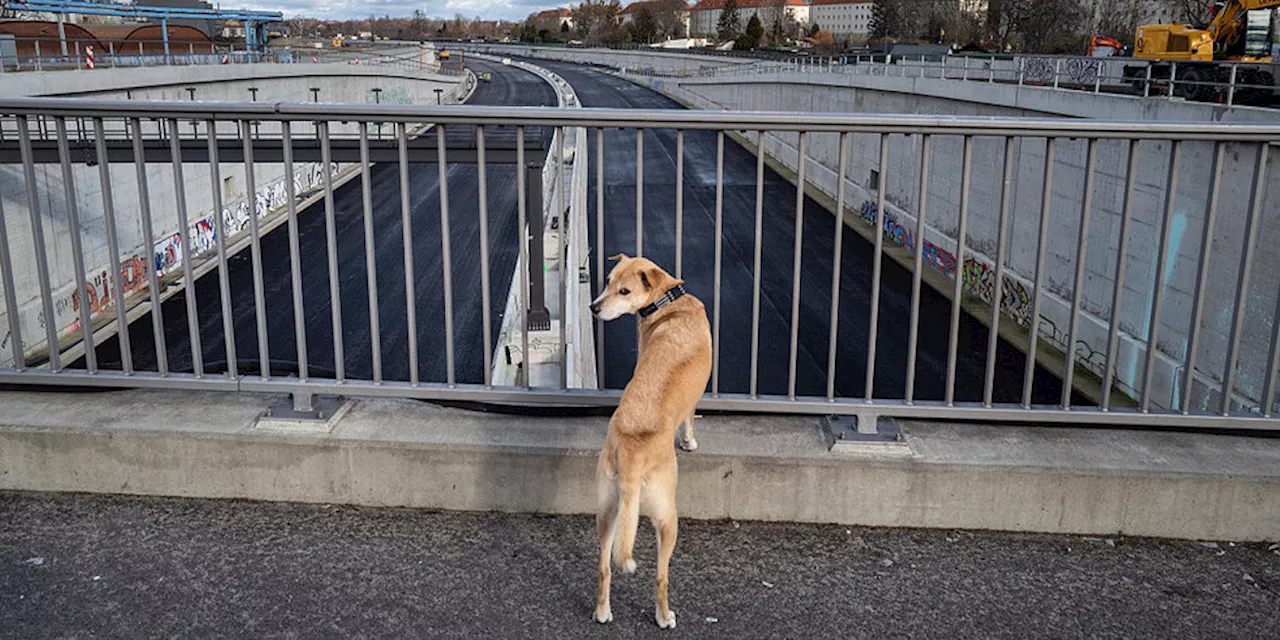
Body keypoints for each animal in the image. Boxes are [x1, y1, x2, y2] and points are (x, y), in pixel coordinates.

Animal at [586, 252, 711, 627]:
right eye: (608, 282)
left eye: (621, 288)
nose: (593, 308)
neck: (669, 300)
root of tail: (631, 457)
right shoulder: (692, 403)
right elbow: (689, 419)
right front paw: (689, 442)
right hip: (667, 515)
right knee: (661, 575)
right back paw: (664, 616)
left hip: (608, 511)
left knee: (604, 566)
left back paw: (602, 612)